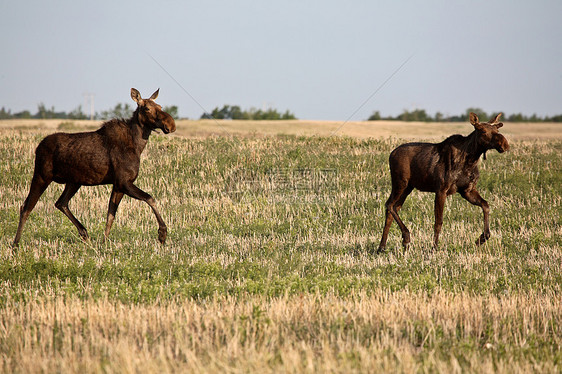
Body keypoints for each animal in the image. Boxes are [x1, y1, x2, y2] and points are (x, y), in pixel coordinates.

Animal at [12, 87, 175, 245]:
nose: (171, 124)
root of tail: (37, 148)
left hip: (73, 181)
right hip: (42, 175)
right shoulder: (123, 182)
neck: (138, 145)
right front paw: (162, 234)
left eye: (160, 106)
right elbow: (150, 198)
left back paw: (84, 232)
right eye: (147, 108)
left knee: (61, 202)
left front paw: (104, 243)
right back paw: (15, 244)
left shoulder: (118, 185)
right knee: (26, 207)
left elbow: (110, 215)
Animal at [376, 112, 508, 253]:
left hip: (408, 187)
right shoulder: (441, 190)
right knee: (389, 204)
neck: (471, 160)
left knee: (393, 208)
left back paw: (382, 246)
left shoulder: (467, 190)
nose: (504, 144)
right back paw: (405, 238)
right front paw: (434, 248)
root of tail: (391, 154)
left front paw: (482, 238)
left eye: (497, 130)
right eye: (482, 130)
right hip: (400, 182)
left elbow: (486, 205)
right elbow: (438, 221)